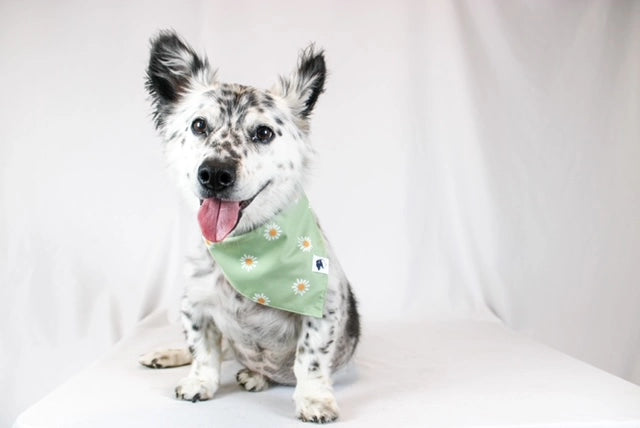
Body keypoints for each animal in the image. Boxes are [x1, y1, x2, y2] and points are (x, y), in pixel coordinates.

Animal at [139, 30, 360, 424]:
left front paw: (314, 399)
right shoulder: (194, 305)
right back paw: (167, 354)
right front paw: (199, 381)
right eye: (199, 125)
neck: (248, 253)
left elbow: (309, 361)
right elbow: (203, 350)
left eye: (263, 133)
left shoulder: (324, 311)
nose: (215, 173)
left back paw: (254, 376)